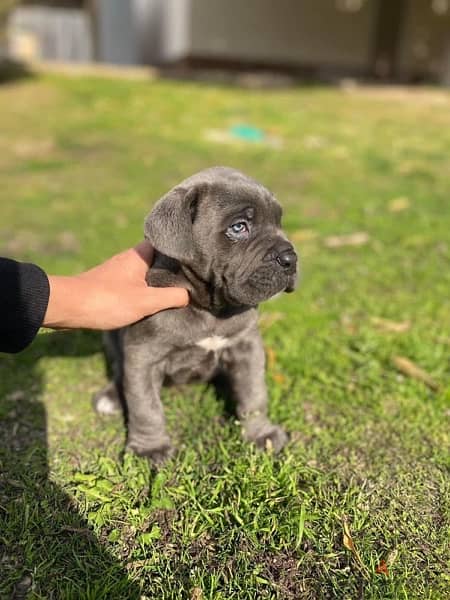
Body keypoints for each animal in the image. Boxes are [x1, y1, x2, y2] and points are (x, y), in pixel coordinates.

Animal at [93, 166, 298, 466]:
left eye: (279, 222)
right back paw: (111, 397)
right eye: (239, 227)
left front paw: (261, 434)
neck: (209, 307)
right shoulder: (143, 356)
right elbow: (146, 406)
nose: (290, 259)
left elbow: (254, 393)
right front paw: (149, 448)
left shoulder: (247, 347)